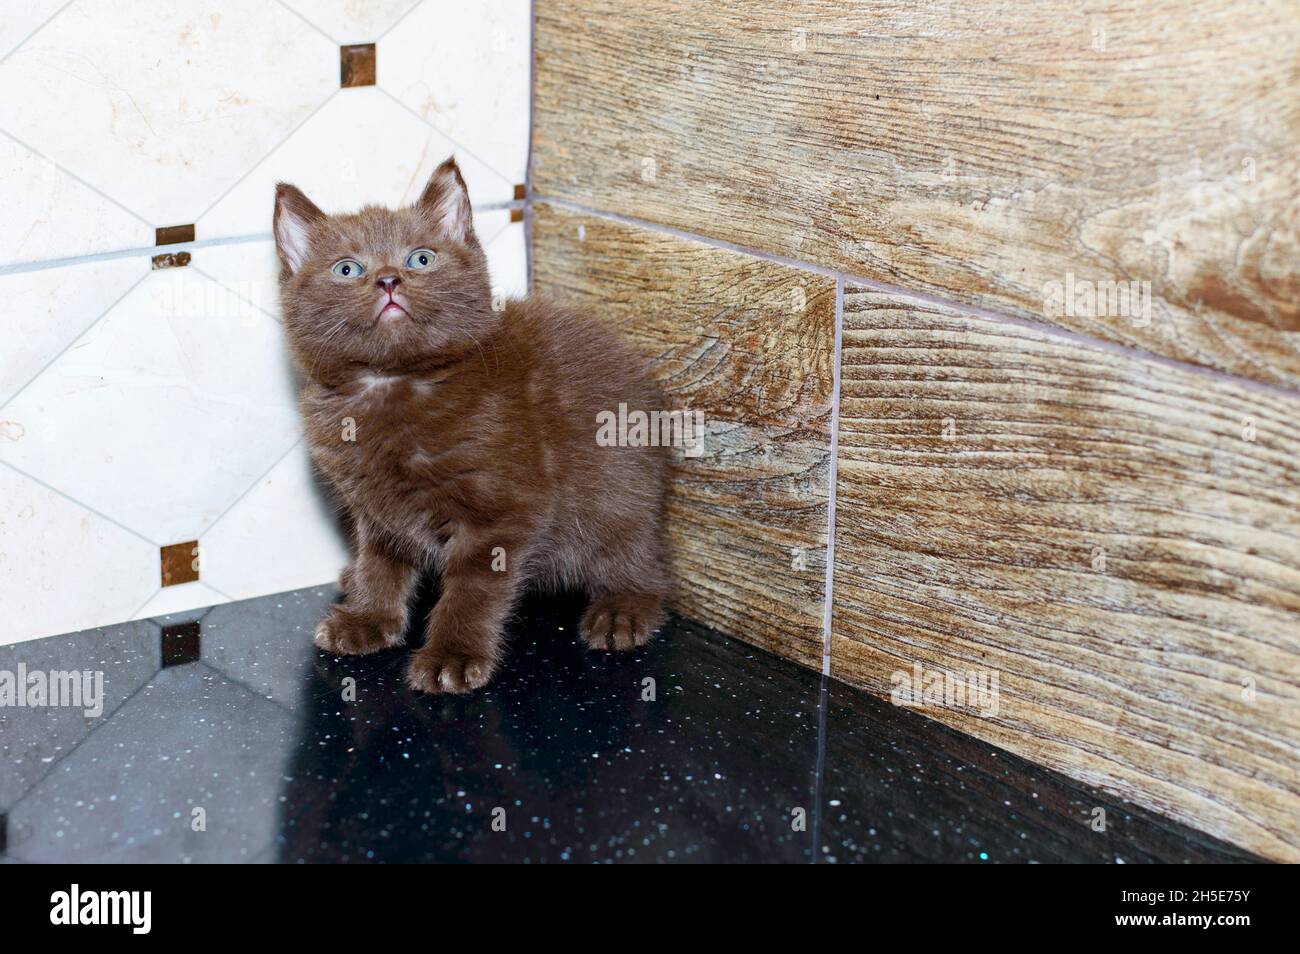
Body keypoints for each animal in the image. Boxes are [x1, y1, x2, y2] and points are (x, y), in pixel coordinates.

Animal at [276, 157, 670, 696]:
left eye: (421, 259)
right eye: (347, 268)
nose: (389, 281)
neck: (394, 383)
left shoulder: (502, 511)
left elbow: (473, 588)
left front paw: (453, 655)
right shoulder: (375, 506)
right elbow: (381, 563)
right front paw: (368, 618)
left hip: (618, 495)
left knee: (644, 562)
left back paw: (622, 610)